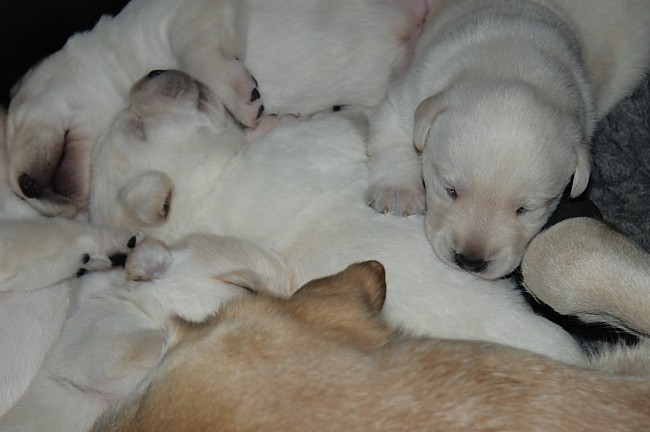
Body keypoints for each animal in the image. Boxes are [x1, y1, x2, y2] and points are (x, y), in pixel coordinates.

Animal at [362, 0, 648, 280]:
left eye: (525, 209)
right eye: (449, 189)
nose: (470, 261)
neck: (512, 59)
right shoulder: (417, 86)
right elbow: (395, 131)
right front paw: (398, 192)